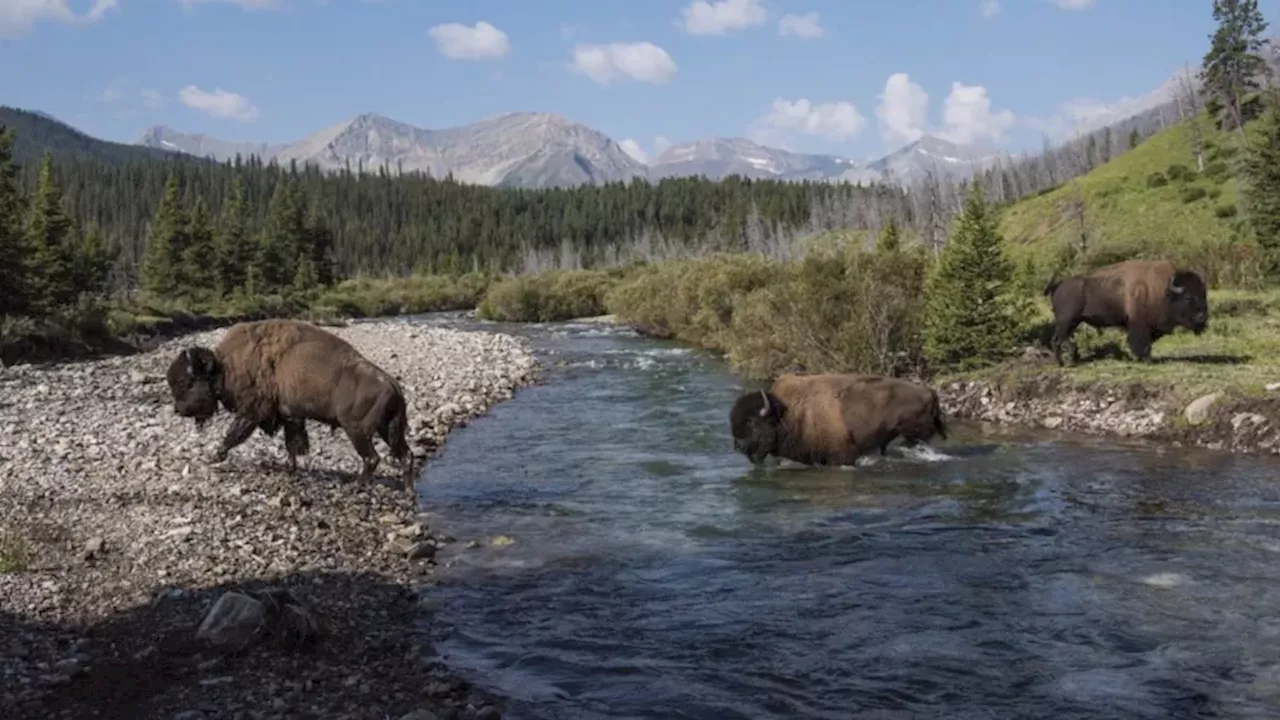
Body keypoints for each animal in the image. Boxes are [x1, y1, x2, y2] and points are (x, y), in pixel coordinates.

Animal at [165, 319, 417, 490]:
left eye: (185, 382)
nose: (178, 410)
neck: (225, 366)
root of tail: (392, 384)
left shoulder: (252, 412)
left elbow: (234, 434)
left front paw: (214, 456)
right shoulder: (290, 416)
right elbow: (292, 445)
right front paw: (291, 468)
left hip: (356, 429)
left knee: (372, 457)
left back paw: (356, 485)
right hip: (387, 429)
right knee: (405, 455)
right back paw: (408, 490)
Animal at [729, 372, 948, 467]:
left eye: (751, 422)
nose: (738, 446)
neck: (788, 414)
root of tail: (929, 391)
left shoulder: (841, 456)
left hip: (916, 434)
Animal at [1044, 258, 1208, 365]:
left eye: (1203, 294)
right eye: (1188, 297)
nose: (1202, 317)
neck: (1163, 291)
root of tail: (1058, 285)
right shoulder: (1138, 325)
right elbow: (1141, 343)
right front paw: (1145, 360)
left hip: (1073, 322)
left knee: (1059, 339)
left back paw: (1066, 361)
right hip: (1066, 321)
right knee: (1058, 339)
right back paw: (1066, 362)